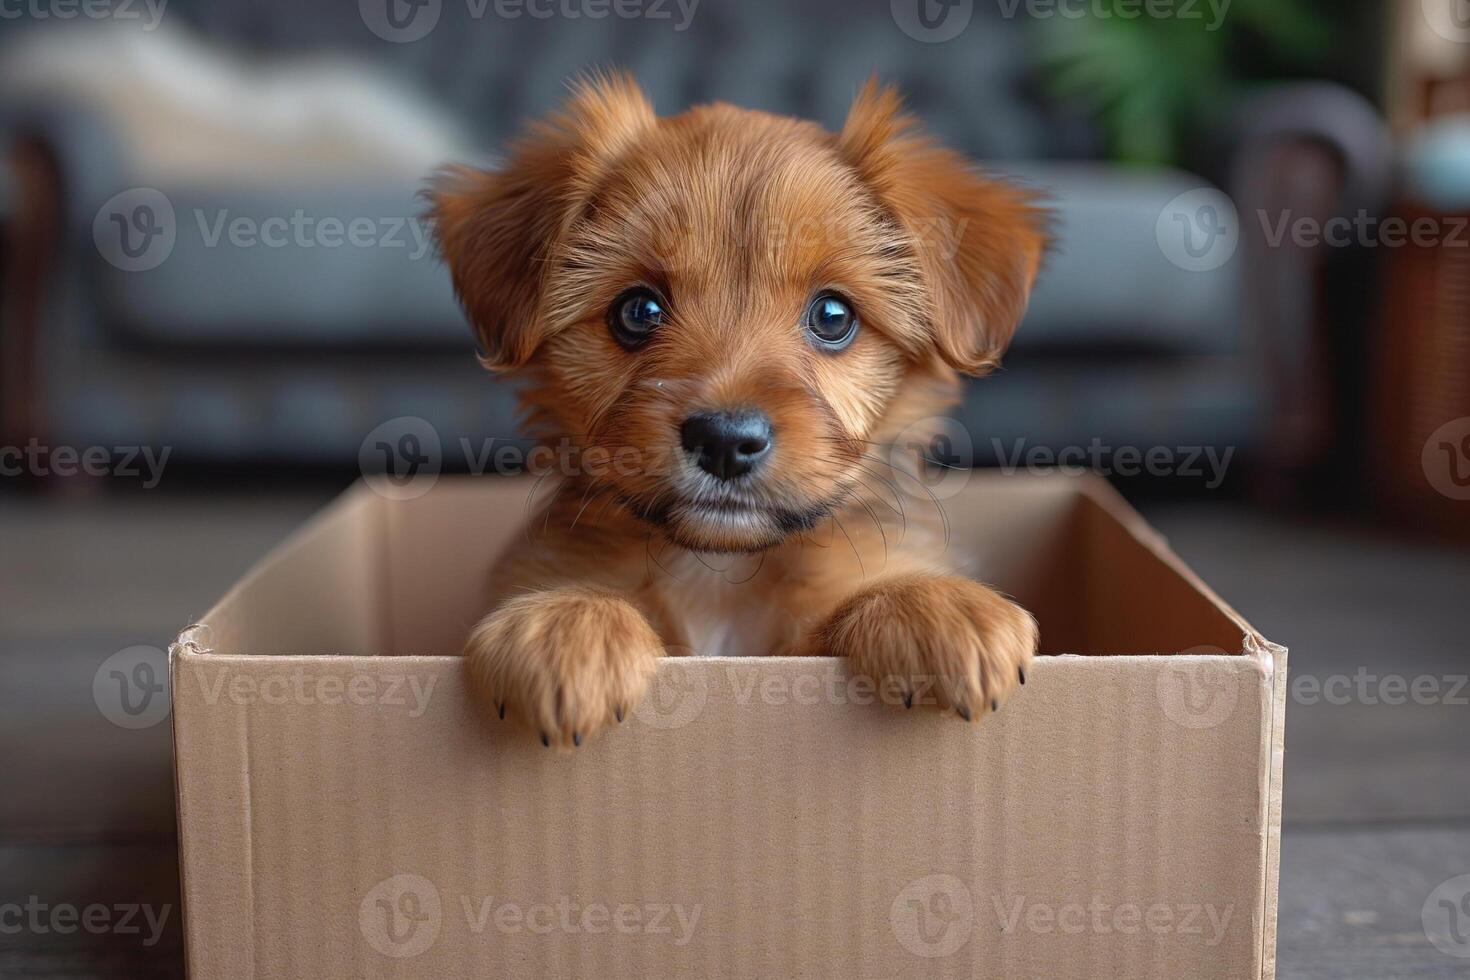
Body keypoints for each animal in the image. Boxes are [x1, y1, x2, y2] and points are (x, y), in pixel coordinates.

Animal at [429, 72, 1052, 752]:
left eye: (833, 316)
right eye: (638, 310)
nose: (724, 440)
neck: (719, 576)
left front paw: (932, 604)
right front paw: (566, 625)